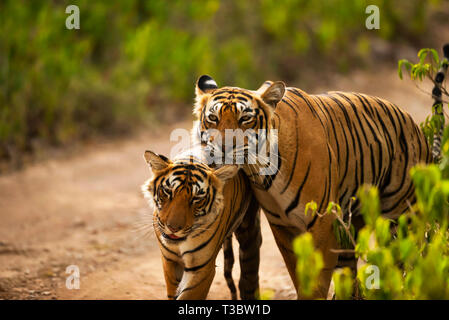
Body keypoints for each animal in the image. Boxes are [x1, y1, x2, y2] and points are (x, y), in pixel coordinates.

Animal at [143, 148, 262, 300]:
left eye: (197, 199)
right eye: (168, 191)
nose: (173, 228)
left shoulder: (202, 269)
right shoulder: (169, 261)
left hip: (249, 230)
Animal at [192, 74, 430, 298]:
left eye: (245, 119)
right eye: (213, 118)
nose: (223, 148)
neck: (261, 170)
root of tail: (415, 126)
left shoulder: (322, 221)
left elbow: (317, 278)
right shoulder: (283, 226)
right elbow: (298, 274)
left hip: (401, 217)